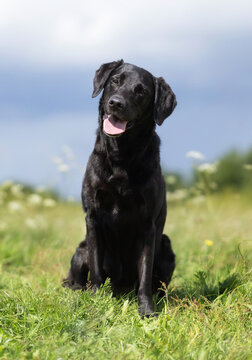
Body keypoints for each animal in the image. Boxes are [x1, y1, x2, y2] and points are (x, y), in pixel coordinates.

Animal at [64, 59, 176, 316]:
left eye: (141, 91)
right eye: (115, 81)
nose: (116, 103)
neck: (121, 157)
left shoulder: (147, 225)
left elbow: (144, 275)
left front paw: (146, 310)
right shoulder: (93, 217)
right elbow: (96, 270)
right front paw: (95, 301)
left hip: (166, 246)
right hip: (81, 249)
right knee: (76, 278)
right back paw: (77, 291)